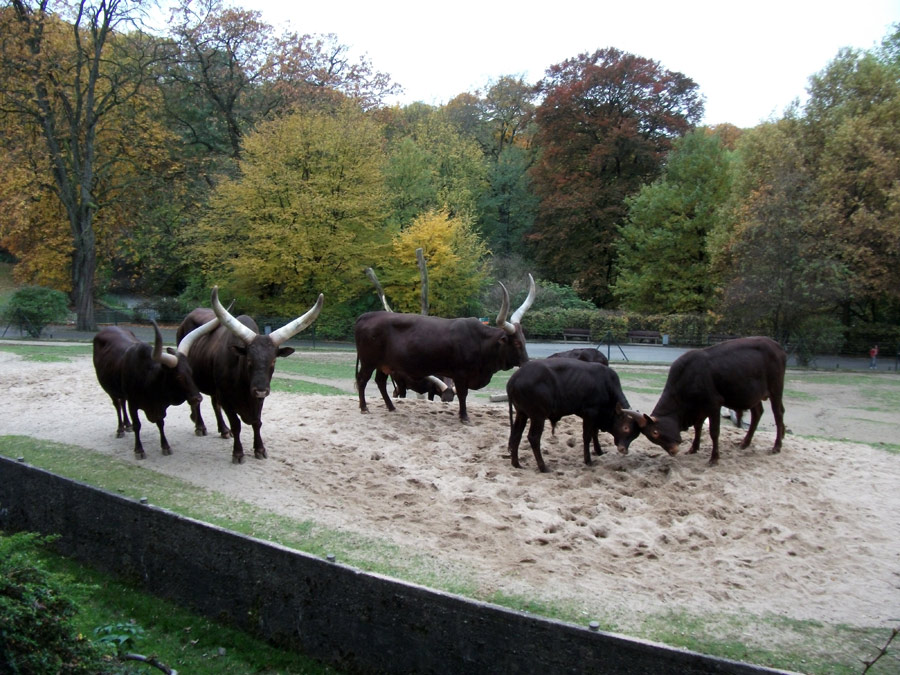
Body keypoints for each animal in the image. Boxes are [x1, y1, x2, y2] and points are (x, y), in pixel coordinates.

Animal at [92, 318, 218, 460]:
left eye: (191, 373)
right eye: (178, 376)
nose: (198, 398)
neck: (148, 379)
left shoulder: (159, 406)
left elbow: (160, 423)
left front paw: (165, 446)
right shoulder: (133, 404)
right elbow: (137, 425)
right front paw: (139, 450)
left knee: (122, 402)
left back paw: (127, 425)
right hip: (110, 390)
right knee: (118, 406)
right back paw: (120, 429)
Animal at [176, 286, 324, 464]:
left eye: (274, 361)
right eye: (249, 360)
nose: (260, 390)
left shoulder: (258, 399)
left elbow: (257, 422)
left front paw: (260, 449)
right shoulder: (226, 398)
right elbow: (236, 424)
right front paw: (238, 453)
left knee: (214, 404)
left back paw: (223, 430)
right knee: (197, 401)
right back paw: (200, 426)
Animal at [354, 274, 536, 422]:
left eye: (524, 341)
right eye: (517, 343)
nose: (526, 363)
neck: (480, 342)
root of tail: (367, 316)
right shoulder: (461, 374)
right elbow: (463, 395)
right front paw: (464, 417)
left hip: (383, 365)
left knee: (380, 382)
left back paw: (391, 407)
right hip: (368, 362)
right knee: (362, 380)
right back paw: (364, 408)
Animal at [506, 360, 640, 476]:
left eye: (635, 435)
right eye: (626, 428)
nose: (624, 450)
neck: (607, 385)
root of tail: (515, 378)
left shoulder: (595, 417)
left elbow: (595, 433)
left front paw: (599, 451)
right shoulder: (590, 413)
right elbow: (587, 436)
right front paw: (588, 460)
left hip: (521, 414)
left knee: (516, 435)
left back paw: (516, 463)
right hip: (538, 416)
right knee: (533, 438)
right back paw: (543, 467)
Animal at [628, 336, 784, 464]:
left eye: (655, 432)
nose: (673, 451)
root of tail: (777, 345)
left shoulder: (713, 405)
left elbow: (714, 432)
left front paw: (714, 458)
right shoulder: (699, 408)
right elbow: (698, 427)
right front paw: (693, 448)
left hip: (776, 389)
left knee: (778, 413)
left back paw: (777, 446)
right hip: (753, 395)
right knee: (757, 413)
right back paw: (745, 443)